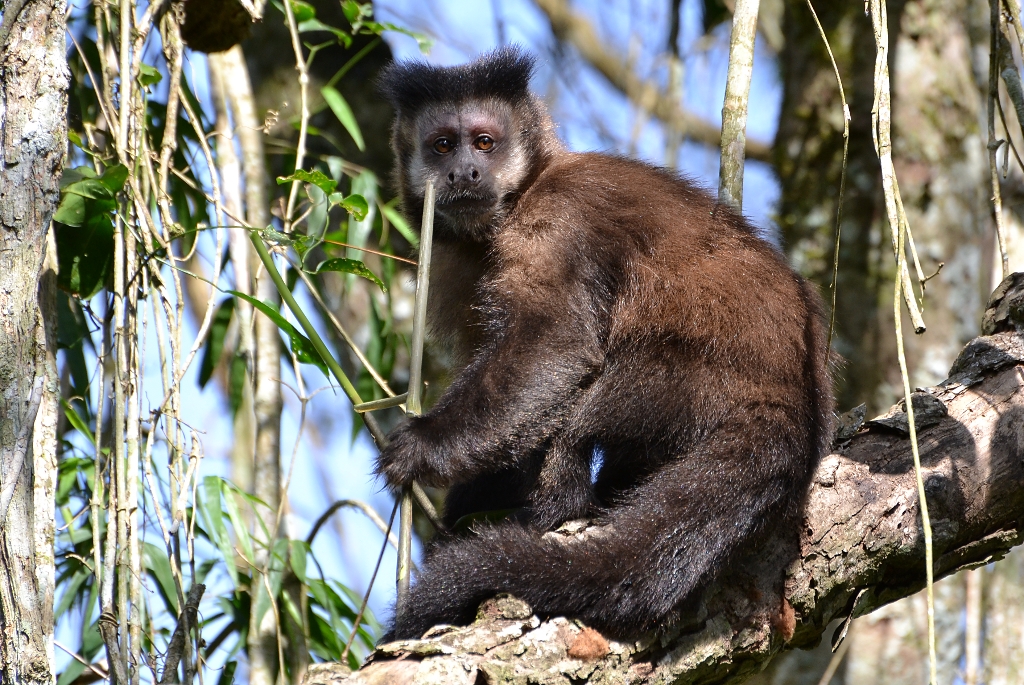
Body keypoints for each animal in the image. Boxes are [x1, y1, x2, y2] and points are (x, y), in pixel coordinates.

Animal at [376, 48, 831, 643]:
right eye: (443, 145)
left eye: (484, 142)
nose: (464, 172)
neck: (524, 192)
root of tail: (796, 408)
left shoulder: (556, 219)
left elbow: (556, 343)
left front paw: (423, 444)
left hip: (696, 388)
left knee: (585, 409)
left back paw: (560, 509)